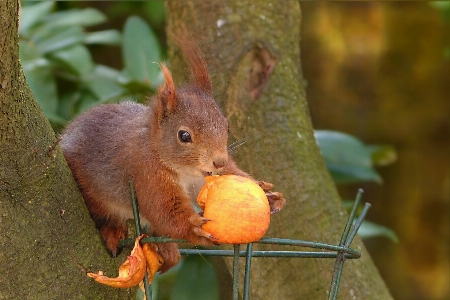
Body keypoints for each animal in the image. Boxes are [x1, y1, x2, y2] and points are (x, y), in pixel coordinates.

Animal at [60, 30, 284, 272]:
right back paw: (113, 231)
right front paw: (194, 229)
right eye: (184, 136)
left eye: (227, 126)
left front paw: (269, 194)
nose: (219, 161)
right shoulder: (146, 173)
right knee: (105, 216)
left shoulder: (202, 178)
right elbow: (164, 210)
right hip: (92, 193)